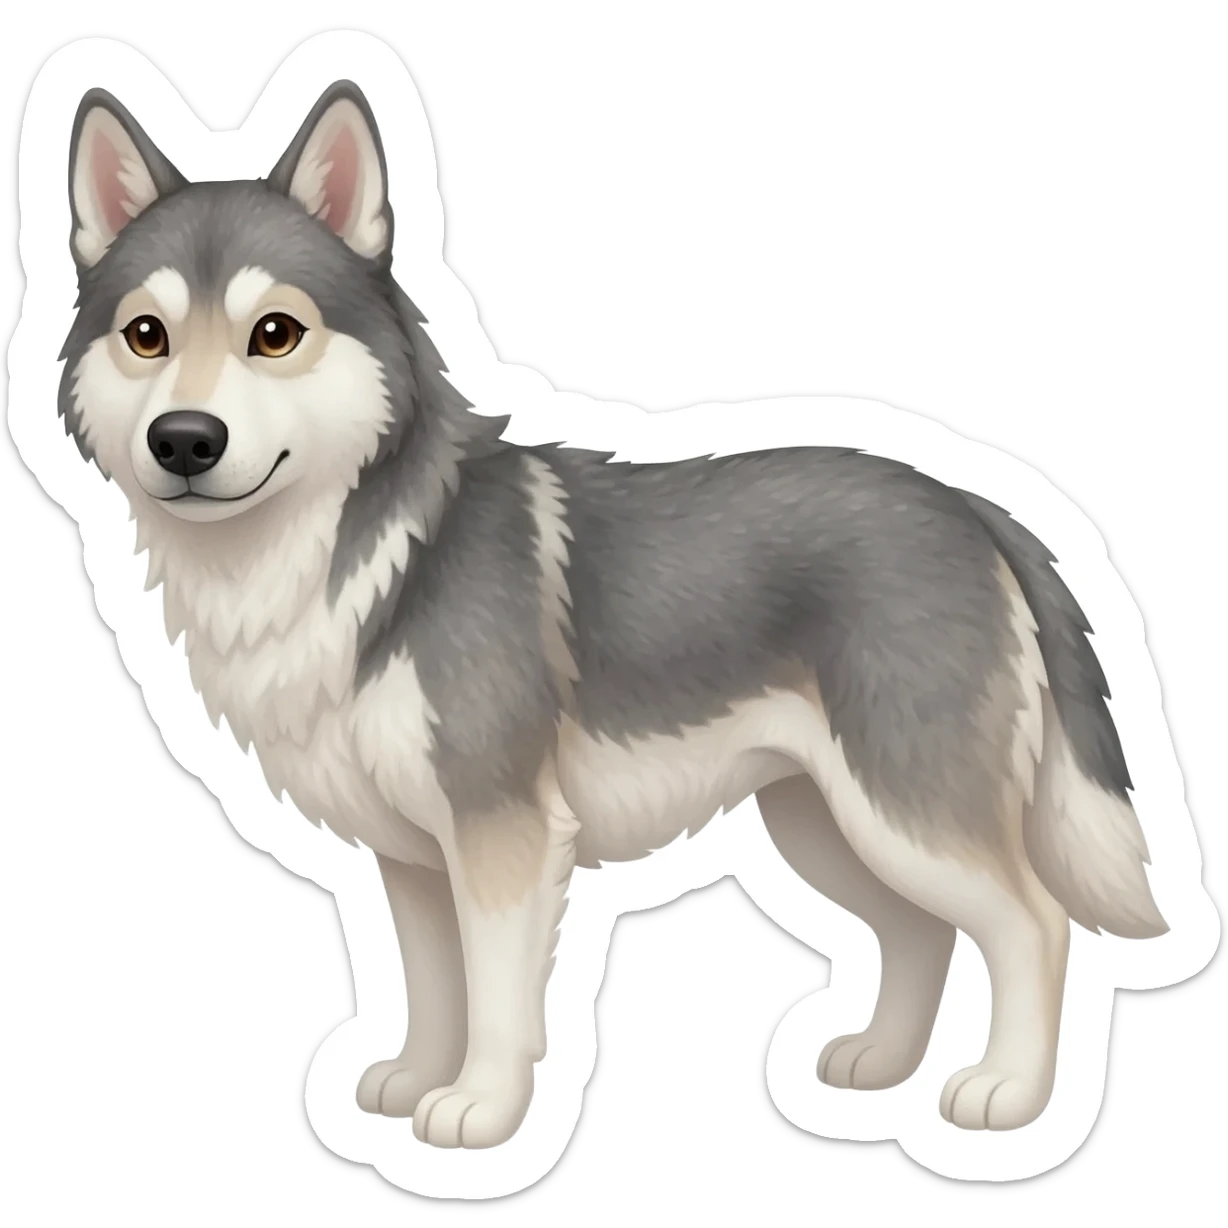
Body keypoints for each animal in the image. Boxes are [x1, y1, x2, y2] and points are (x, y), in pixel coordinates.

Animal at [56, 78, 1169, 1150]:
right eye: (147, 335)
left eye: (274, 334)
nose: (184, 440)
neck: (360, 554)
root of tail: (976, 504)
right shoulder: (412, 856)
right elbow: (433, 985)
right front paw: (413, 1079)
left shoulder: (502, 831)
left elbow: (499, 1000)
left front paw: (480, 1111)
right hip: (826, 819)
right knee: (919, 931)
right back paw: (877, 1063)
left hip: (902, 808)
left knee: (1034, 925)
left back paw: (1008, 1094)